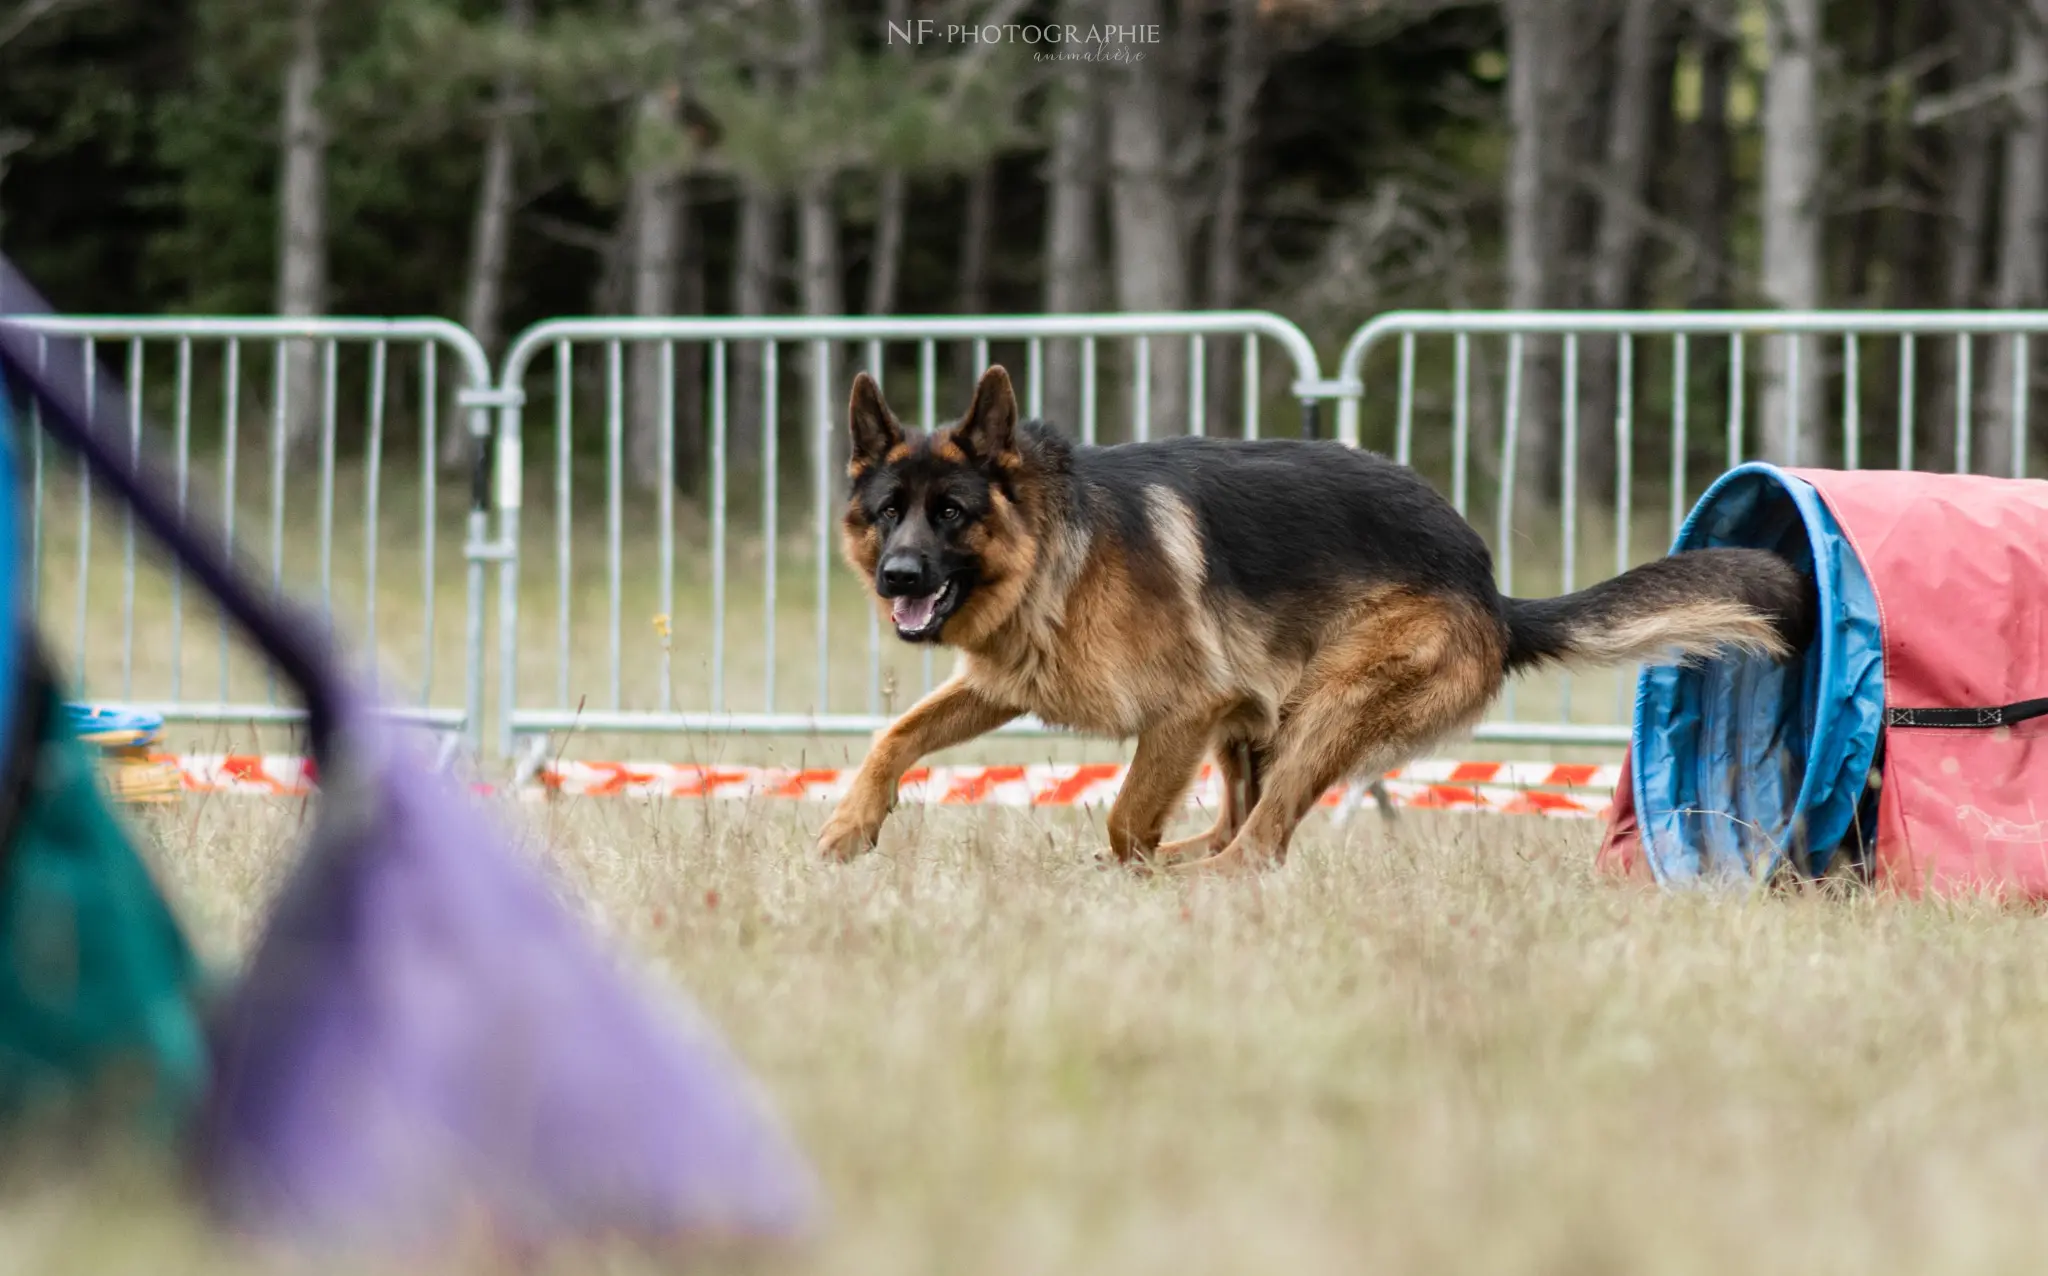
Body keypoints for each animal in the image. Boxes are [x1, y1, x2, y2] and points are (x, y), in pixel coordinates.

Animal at [815, 364, 1810, 872]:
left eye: (951, 513)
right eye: (887, 512)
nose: (898, 577)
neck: (1057, 545)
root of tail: (1489, 587)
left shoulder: (1183, 712)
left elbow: (1127, 818)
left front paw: (1132, 874)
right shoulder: (1005, 685)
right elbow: (895, 735)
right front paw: (851, 824)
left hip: (1322, 711)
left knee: (1257, 844)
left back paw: (1191, 882)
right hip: (1257, 719)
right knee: (1235, 826)